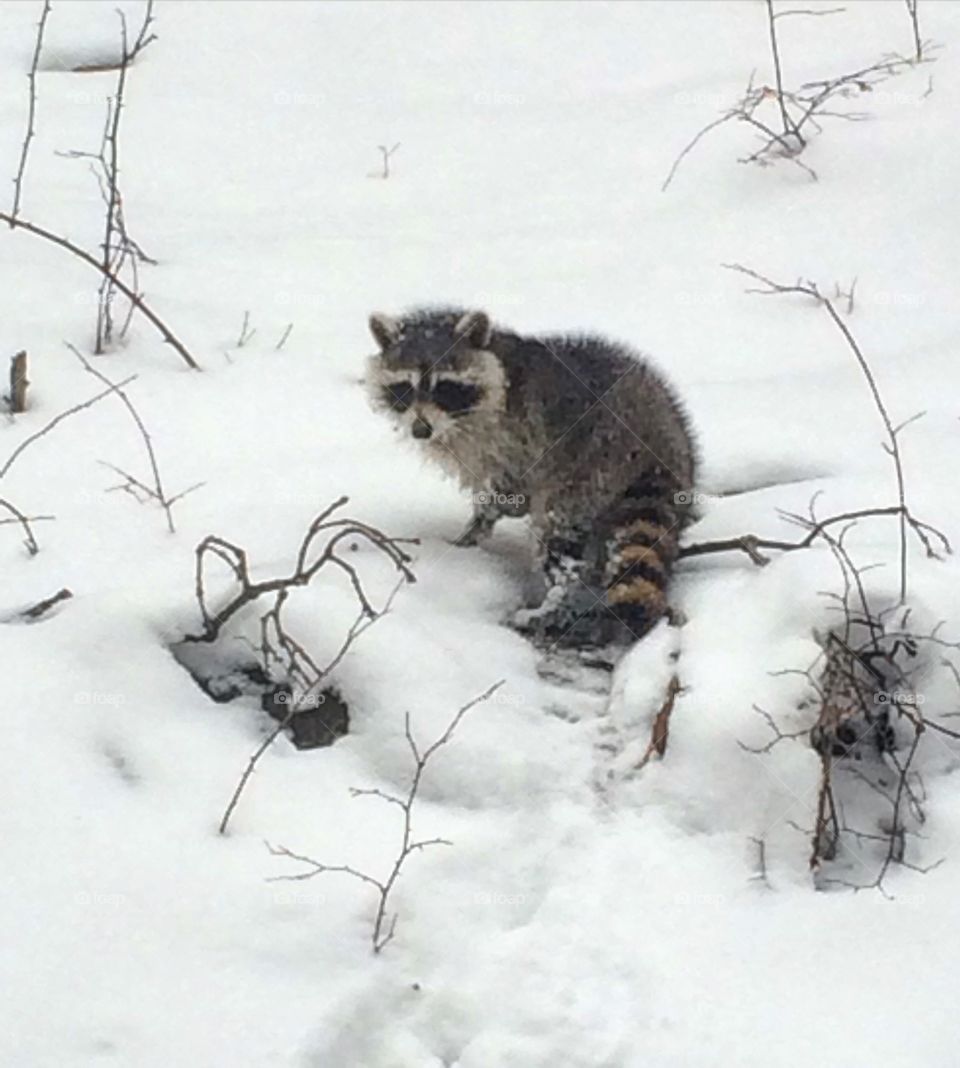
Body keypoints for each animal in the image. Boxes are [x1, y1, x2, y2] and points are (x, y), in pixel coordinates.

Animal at [366, 306, 698, 650]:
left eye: (445, 387)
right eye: (404, 387)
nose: (420, 430)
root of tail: (658, 441)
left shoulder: (517, 434)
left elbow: (505, 490)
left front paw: (480, 523)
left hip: (590, 465)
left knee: (558, 538)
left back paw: (553, 604)